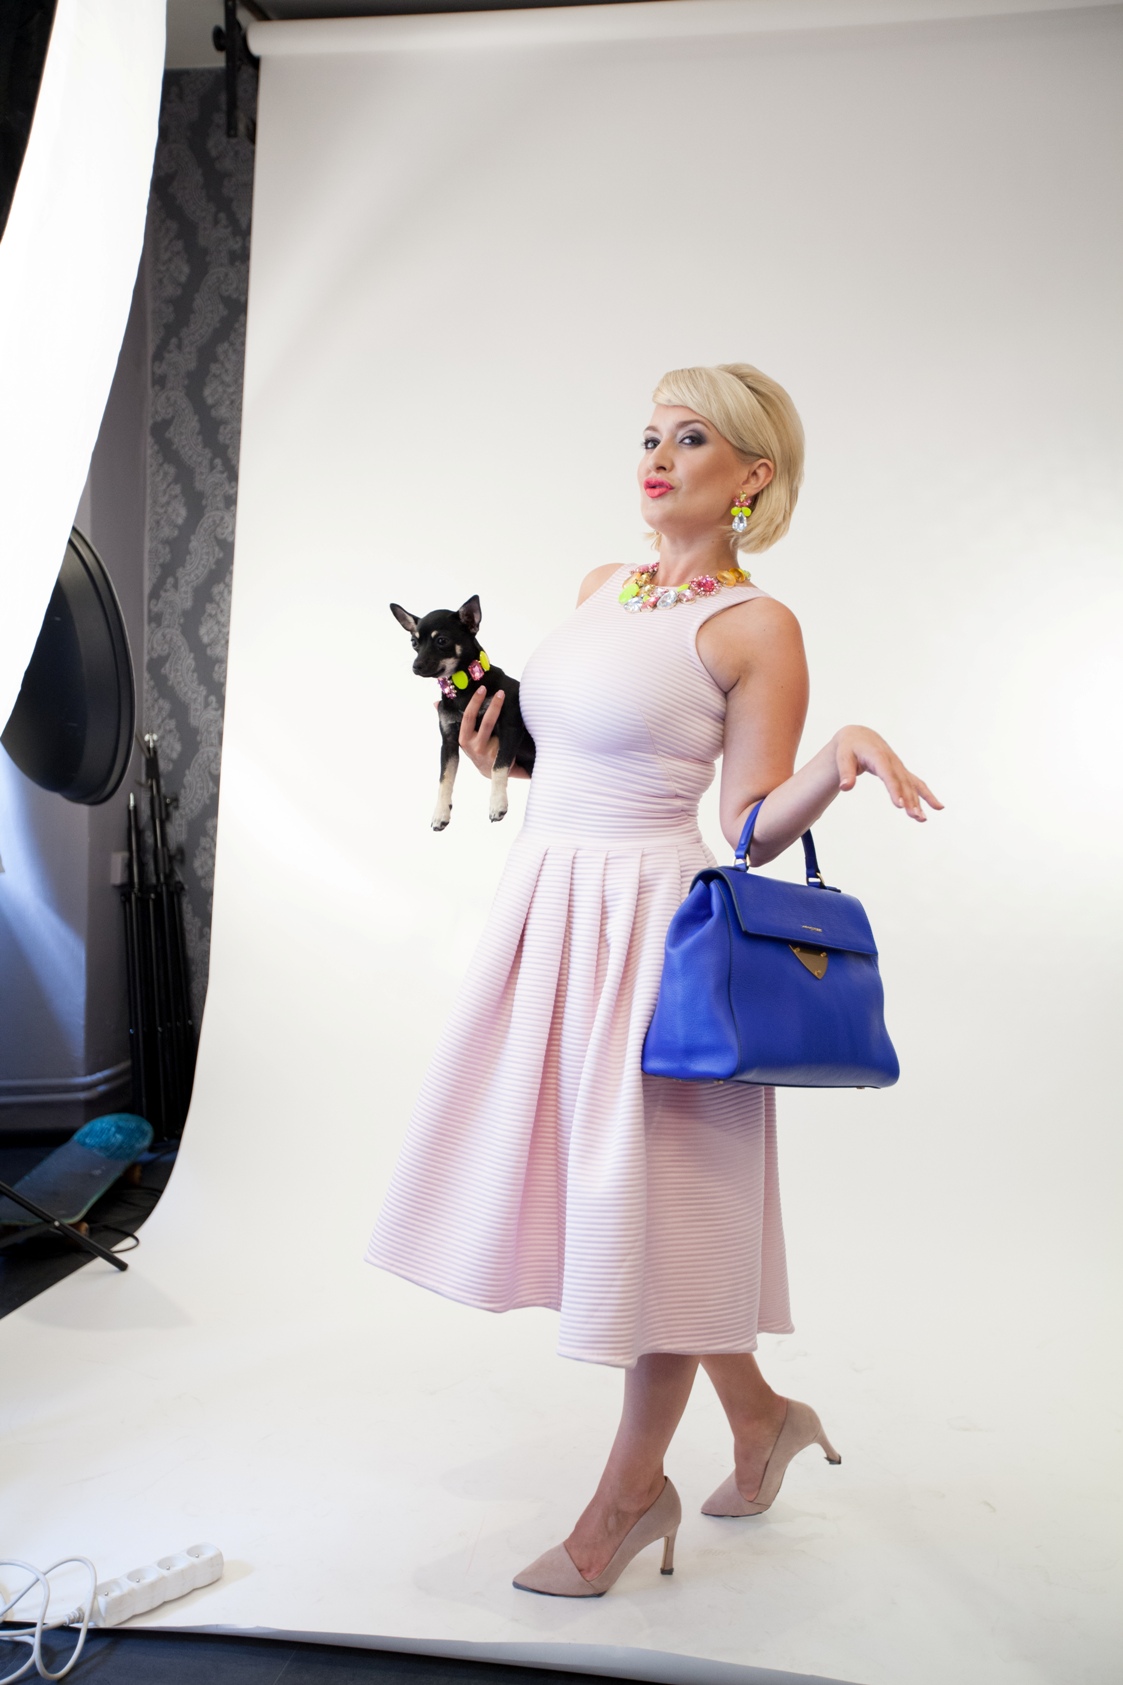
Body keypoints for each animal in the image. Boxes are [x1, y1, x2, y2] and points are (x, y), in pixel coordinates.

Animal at [391, 594, 536, 829]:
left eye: (442, 641)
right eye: (414, 643)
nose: (416, 666)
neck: (464, 686)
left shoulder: (510, 728)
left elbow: (498, 766)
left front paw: (497, 804)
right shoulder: (449, 741)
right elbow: (445, 778)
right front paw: (440, 812)